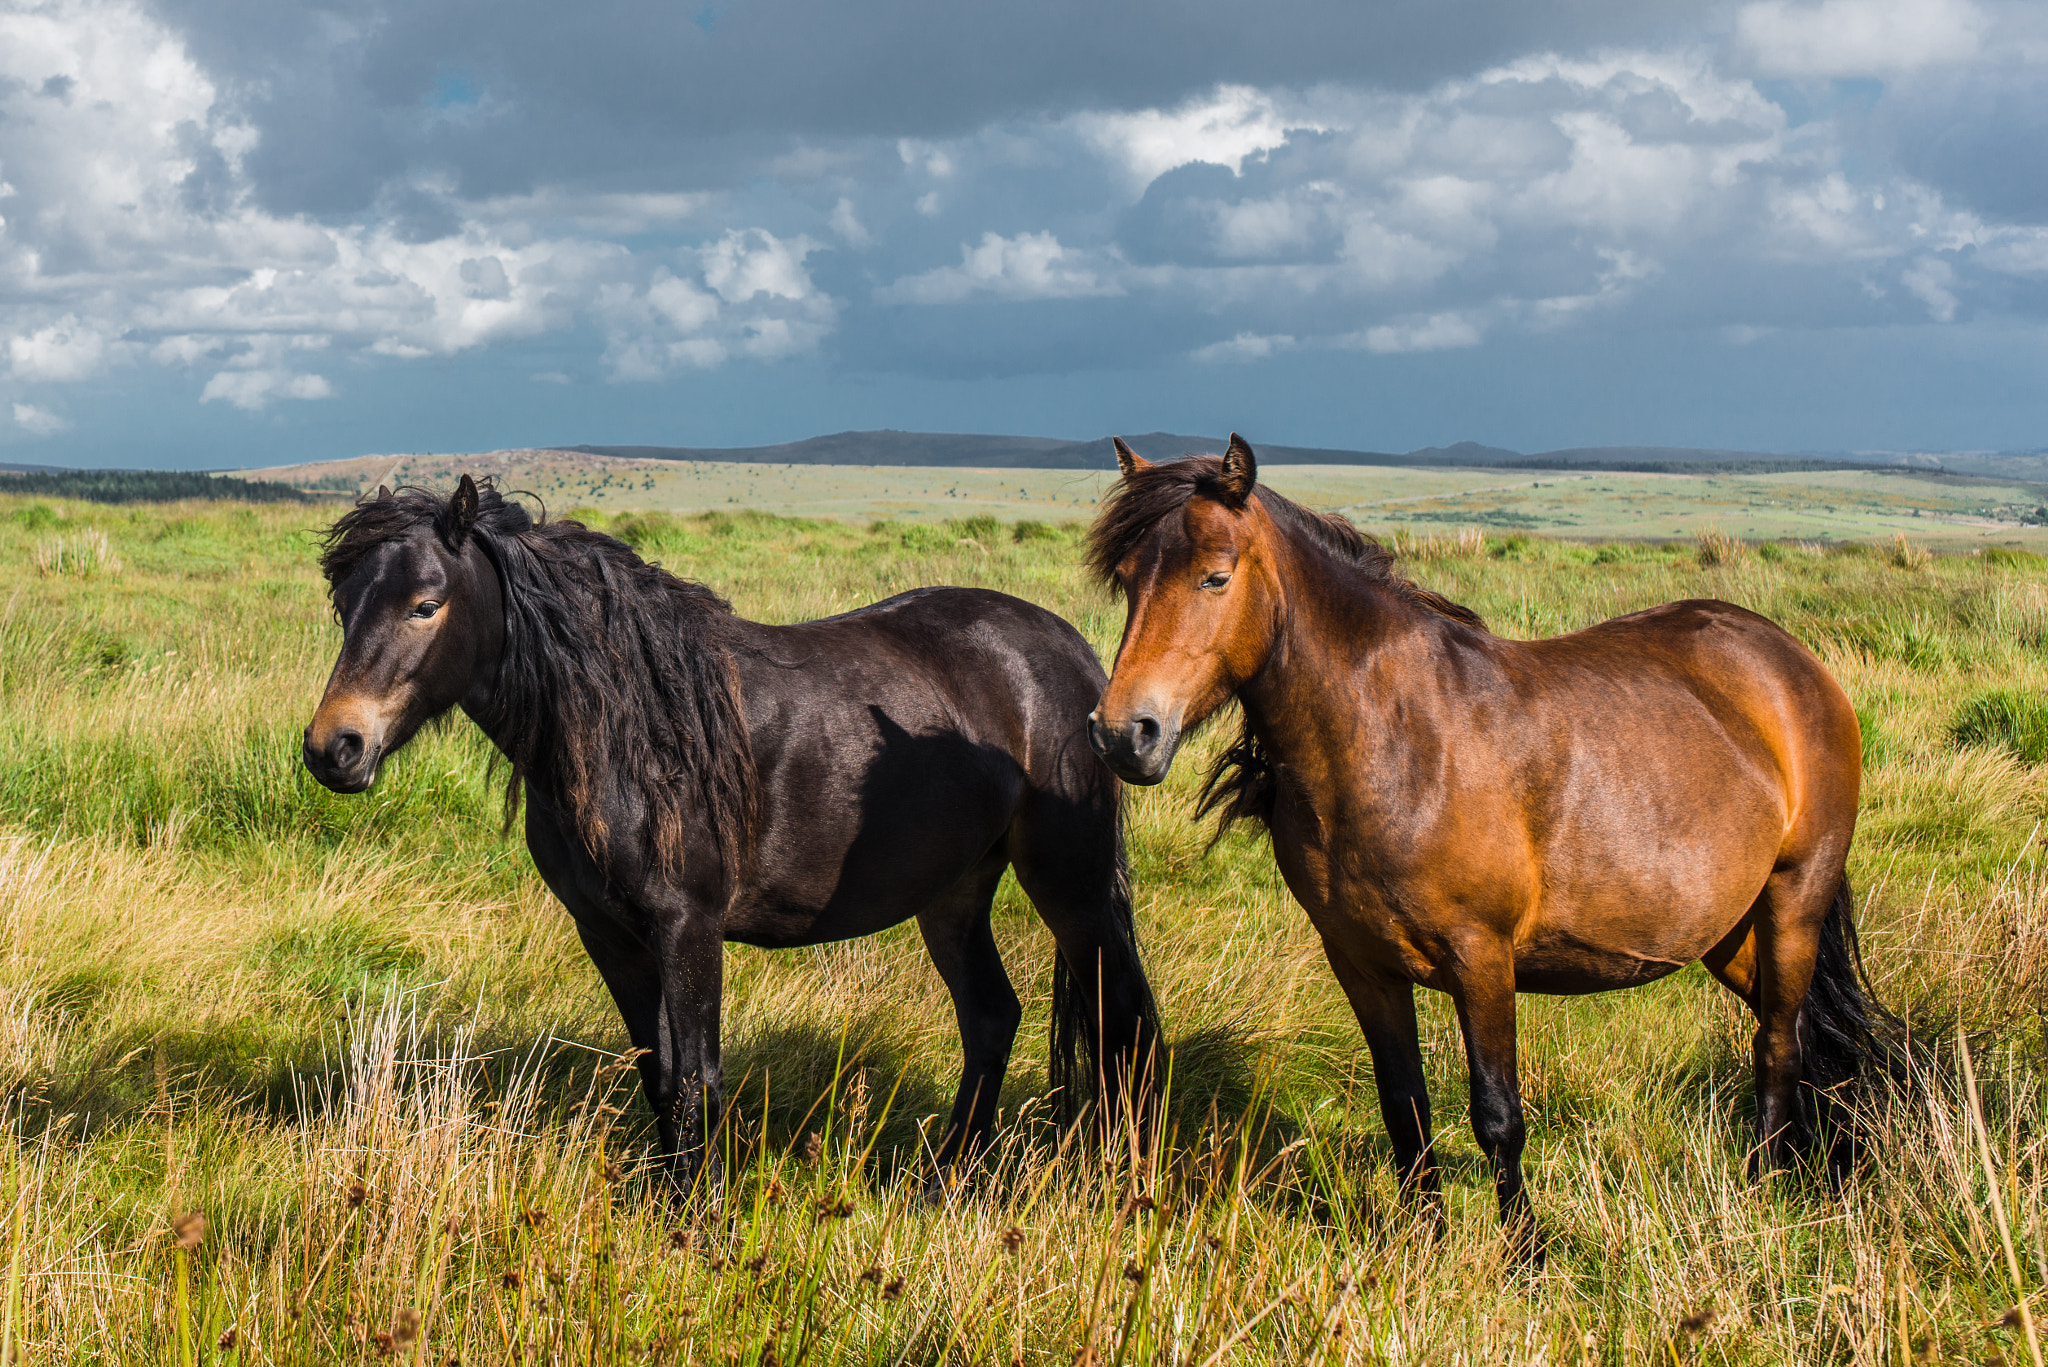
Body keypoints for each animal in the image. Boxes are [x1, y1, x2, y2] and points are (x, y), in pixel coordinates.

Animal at [307, 479, 1171, 1196]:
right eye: (344, 605)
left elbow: (700, 1077)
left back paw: (1125, 1180)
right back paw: (946, 1183)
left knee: (1127, 1025)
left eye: (426, 604)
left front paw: (703, 1218)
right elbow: (659, 1076)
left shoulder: (689, 927)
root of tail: (1077, 655)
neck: (632, 727)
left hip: (1073, 888)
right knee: (992, 1017)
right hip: (954, 892)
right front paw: (670, 1204)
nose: (333, 748)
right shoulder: (609, 937)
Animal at [1089, 436, 1884, 1254]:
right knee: (1795, 1030)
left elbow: (1498, 1114)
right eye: (1127, 581)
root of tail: (1792, 662)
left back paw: (1767, 1188)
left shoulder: (1482, 958)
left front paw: (1525, 1252)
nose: (1125, 734)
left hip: (1793, 901)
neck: (1395, 739)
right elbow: (1404, 1106)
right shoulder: (1362, 963)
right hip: (1725, 931)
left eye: (1216, 576)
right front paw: (1427, 1241)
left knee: (1779, 1040)